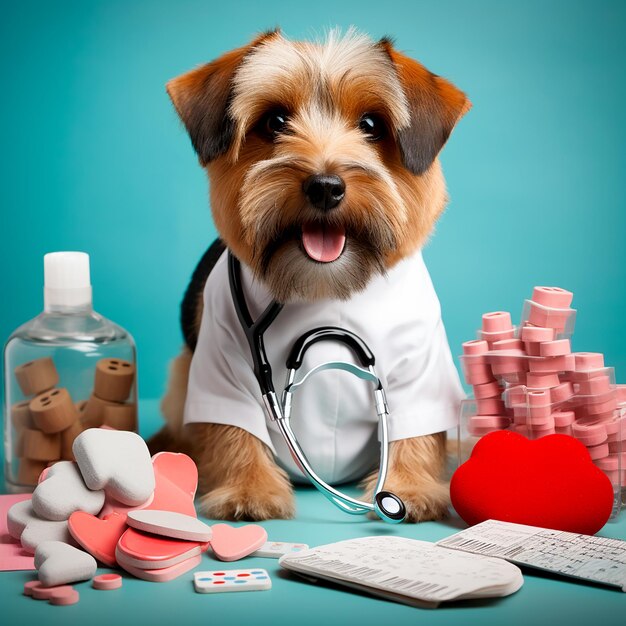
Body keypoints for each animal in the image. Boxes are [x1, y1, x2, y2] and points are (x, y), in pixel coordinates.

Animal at [151, 28, 470, 520]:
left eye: (372, 125)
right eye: (275, 121)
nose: (324, 185)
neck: (327, 290)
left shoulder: (422, 371)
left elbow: (415, 432)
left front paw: (409, 486)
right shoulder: (219, 365)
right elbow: (233, 431)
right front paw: (249, 488)